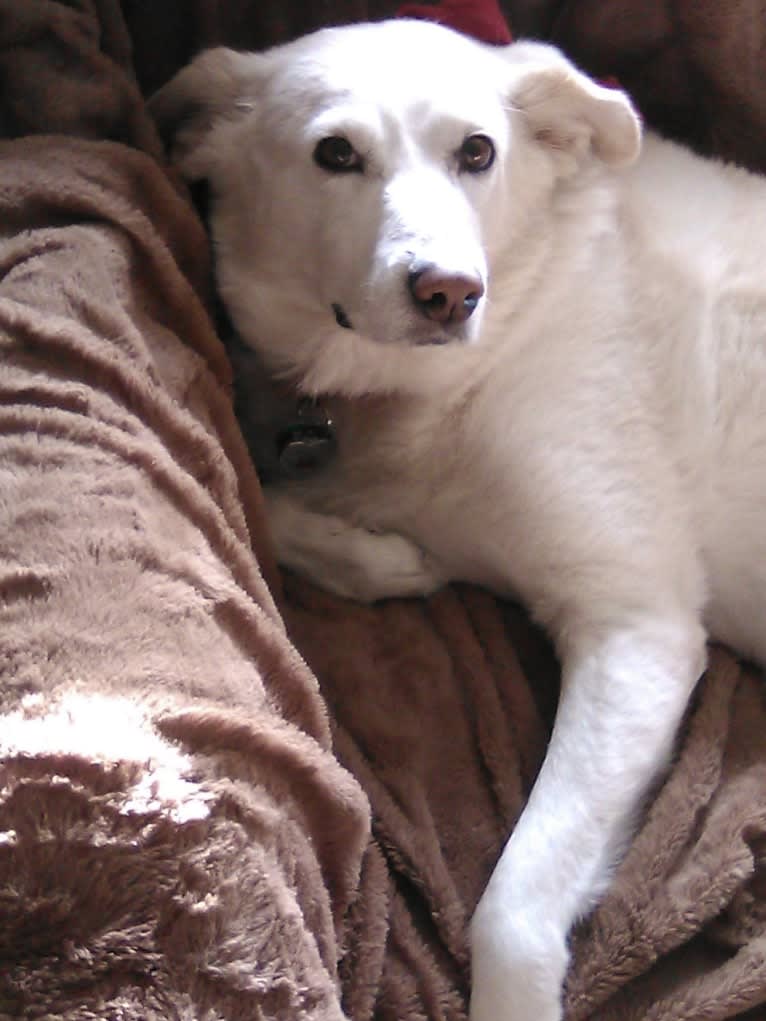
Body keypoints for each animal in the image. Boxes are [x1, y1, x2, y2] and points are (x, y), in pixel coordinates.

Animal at [153, 23, 766, 1021]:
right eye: (335, 154)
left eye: (477, 152)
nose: (448, 291)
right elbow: (266, 503)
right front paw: (391, 559)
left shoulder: (640, 625)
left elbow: (511, 911)